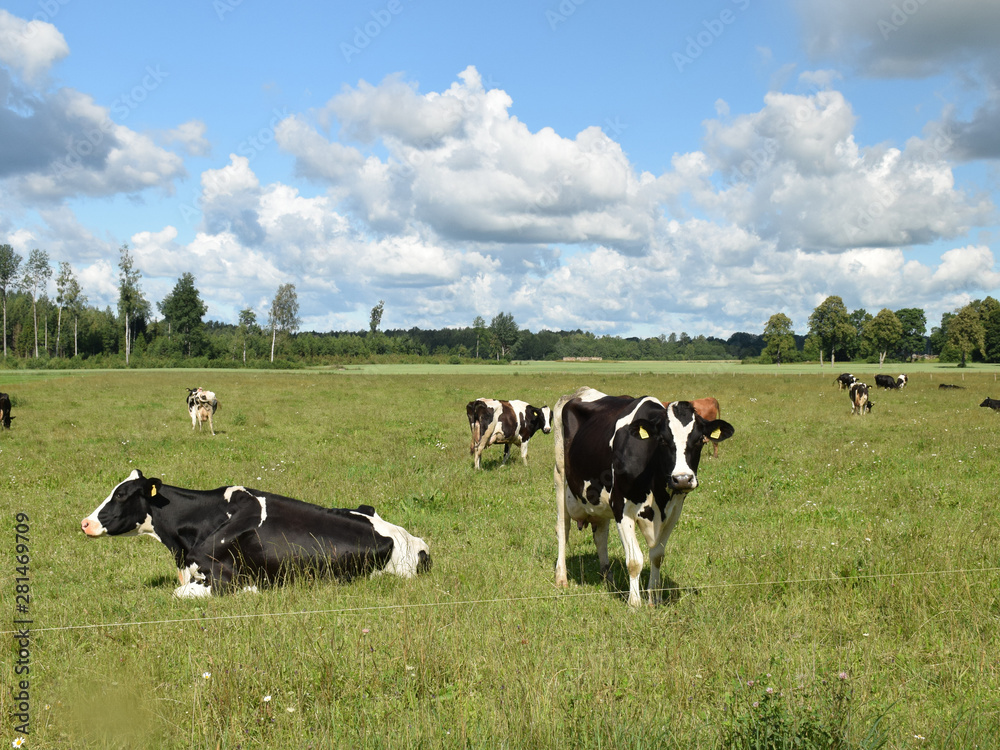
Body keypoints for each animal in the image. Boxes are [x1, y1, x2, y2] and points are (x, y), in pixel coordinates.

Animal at [556, 390, 736, 608]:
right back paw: (561, 578)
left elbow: (657, 556)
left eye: (700, 440)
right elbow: (634, 560)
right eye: (663, 440)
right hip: (560, 475)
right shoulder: (621, 508)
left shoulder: (674, 511)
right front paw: (634, 603)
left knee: (600, 535)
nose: (682, 479)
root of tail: (581, 392)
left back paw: (608, 578)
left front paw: (654, 598)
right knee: (562, 528)